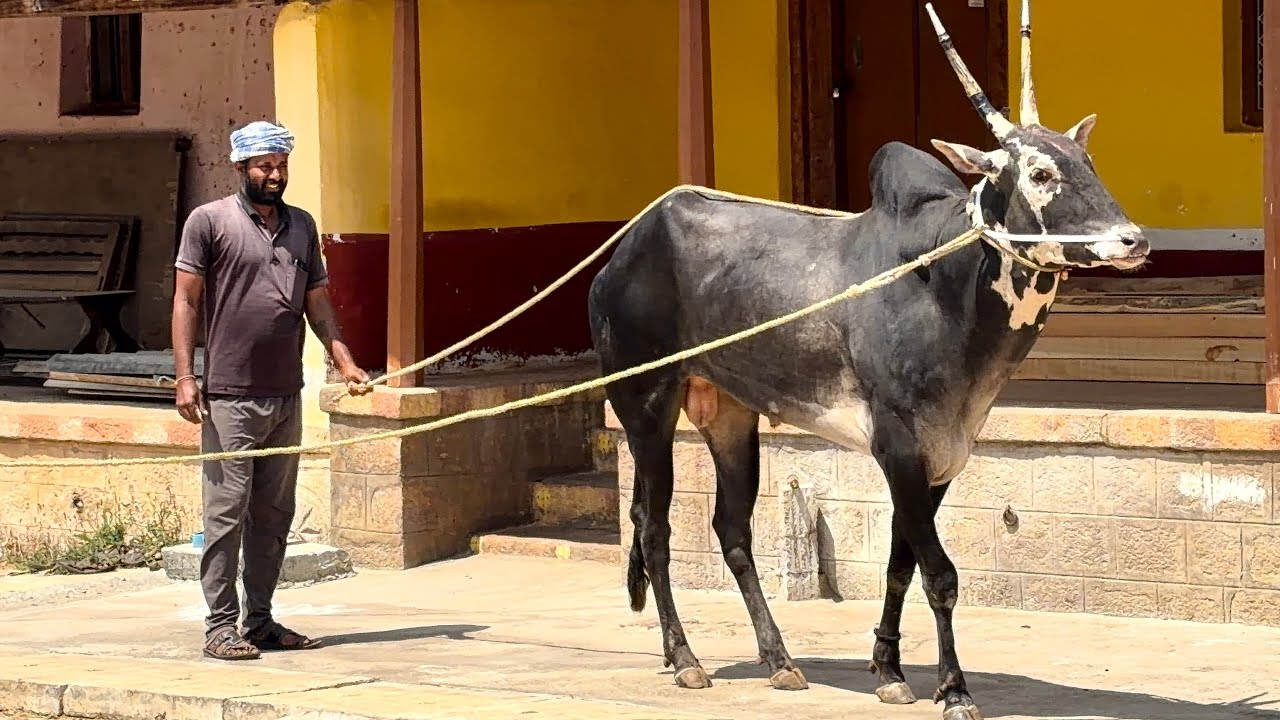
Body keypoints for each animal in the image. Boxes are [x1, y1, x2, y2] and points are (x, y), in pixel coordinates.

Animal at [586, 2, 1148, 719]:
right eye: (1041, 173)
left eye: (1088, 161)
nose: (1133, 241)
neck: (944, 283)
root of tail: (625, 248)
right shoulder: (899, 449)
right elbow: (940, 575)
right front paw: (953, 688)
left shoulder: (942, 457)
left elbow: (900, 564)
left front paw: (888, 668)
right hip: (646, 406)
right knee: (652, 528)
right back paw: (686, 659)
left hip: (731, 416)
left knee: (731, 528)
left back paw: (778, 660)